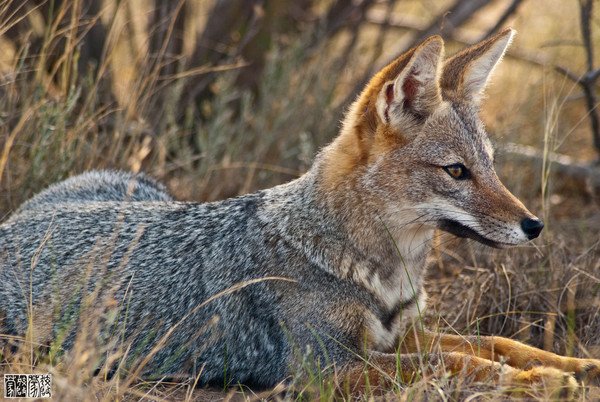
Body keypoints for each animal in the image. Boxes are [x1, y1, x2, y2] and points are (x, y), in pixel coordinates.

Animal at [0, 29, 596, 394]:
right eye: (456, 172)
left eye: (490, 166)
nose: (535, 226)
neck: (384, 275)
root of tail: (15, 222)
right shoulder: (326, 368)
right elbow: (458, 362)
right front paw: (539, 383)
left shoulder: (398, 337)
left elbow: (496, 342)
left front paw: (574, 365)